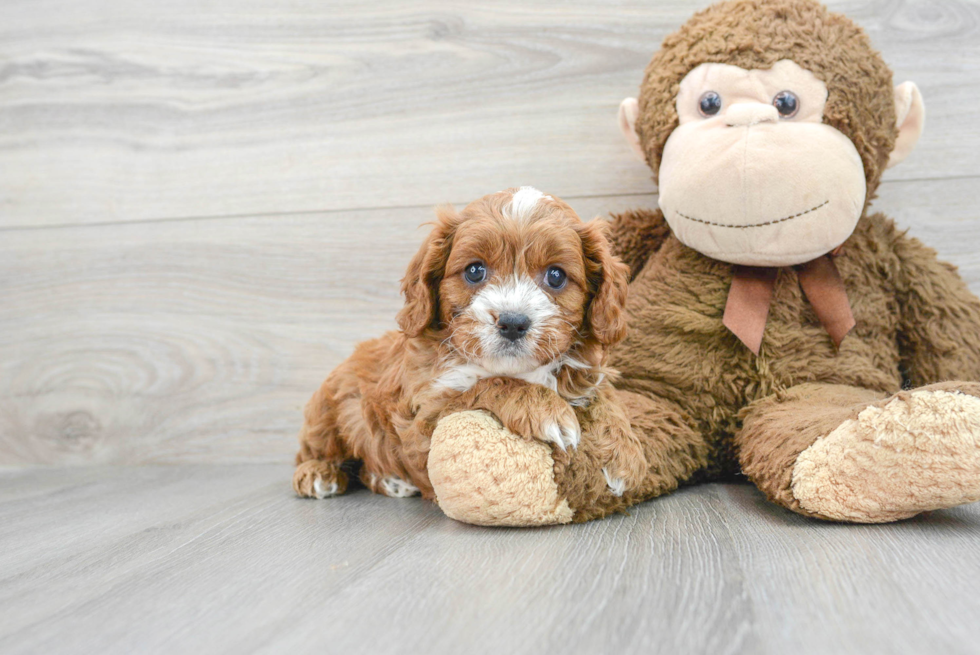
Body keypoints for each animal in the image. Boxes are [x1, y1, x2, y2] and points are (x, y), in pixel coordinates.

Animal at [294, 188, 648, 502]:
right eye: (475, 270)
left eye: (556, 276)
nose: (513, 322)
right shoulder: (423, 426)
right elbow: (490, 385)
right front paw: (546, 409)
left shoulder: (584, 373)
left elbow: (605, 397)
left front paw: (624, 455)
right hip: (329, 411)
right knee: (314, 450)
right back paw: (317, 474)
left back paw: (392, 481)